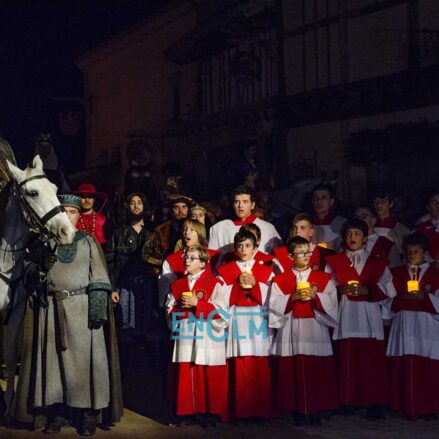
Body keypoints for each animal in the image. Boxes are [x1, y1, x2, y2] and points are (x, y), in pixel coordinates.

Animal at [0, 156, 75, 418]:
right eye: (33, 193)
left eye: (54, 188)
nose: (67, 231)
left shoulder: (14, 313)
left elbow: (10, 353)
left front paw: (8, 405)